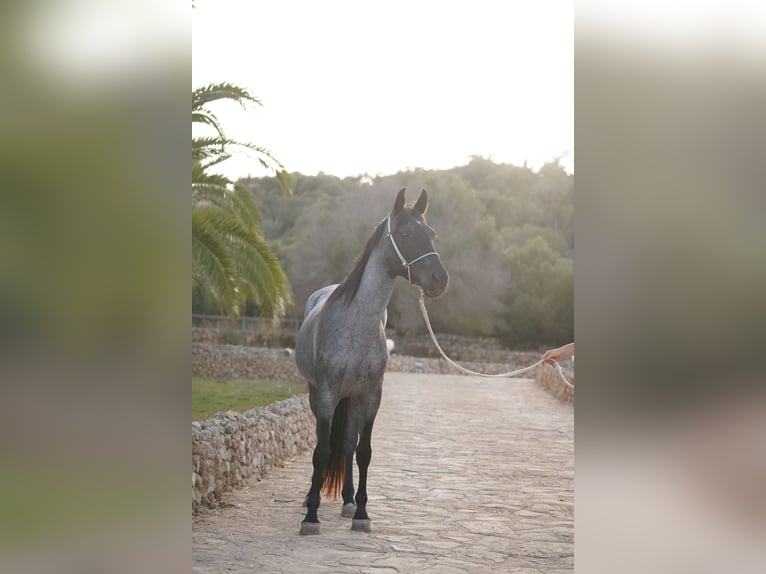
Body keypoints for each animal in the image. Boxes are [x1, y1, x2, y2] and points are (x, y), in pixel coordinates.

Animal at [294, 188, 450, 536]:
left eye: (432, 233)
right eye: (405, 234)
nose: (439, 279)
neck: (356, 325)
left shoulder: (370, 396)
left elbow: (363, 452)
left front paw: (362, 513)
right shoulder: (326, 396)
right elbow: (321, 452)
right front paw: (311, 516)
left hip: (351, 399)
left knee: (348, 444)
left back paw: (349, 500)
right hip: (317, 394)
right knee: (325, 446)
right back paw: (312, 496)